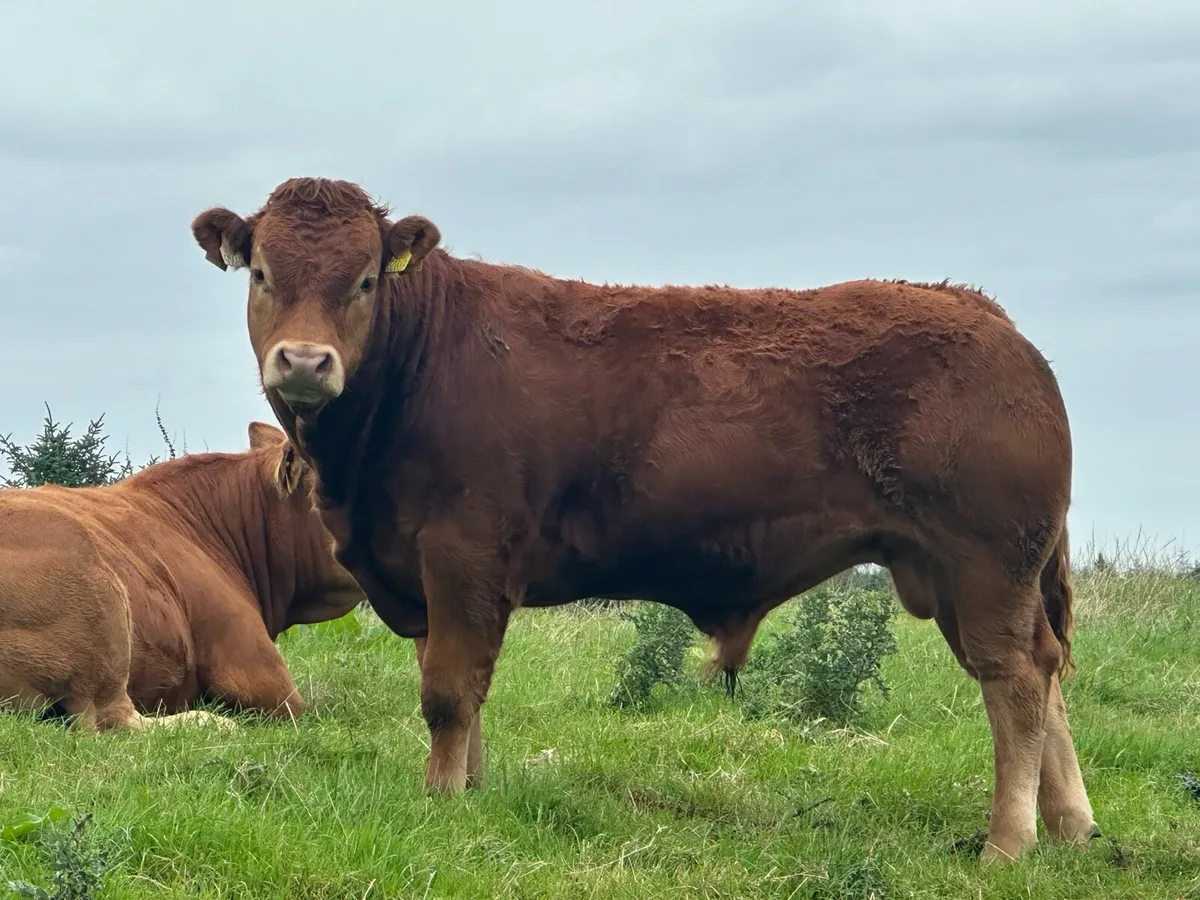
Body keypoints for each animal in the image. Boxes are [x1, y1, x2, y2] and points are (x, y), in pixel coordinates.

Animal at [191, 177, 1099, 863]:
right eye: (262, 272)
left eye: (366, 280)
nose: (305, 362)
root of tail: (985, 315)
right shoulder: (419, 567)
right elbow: (462, 691)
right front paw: (469, 791)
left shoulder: (462, 554)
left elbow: (448, 692)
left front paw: (441, 800)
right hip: (961, 575)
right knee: (1044, 671)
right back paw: (1072, 827)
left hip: (986, 565)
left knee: (1015, 682)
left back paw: (1009, 843)